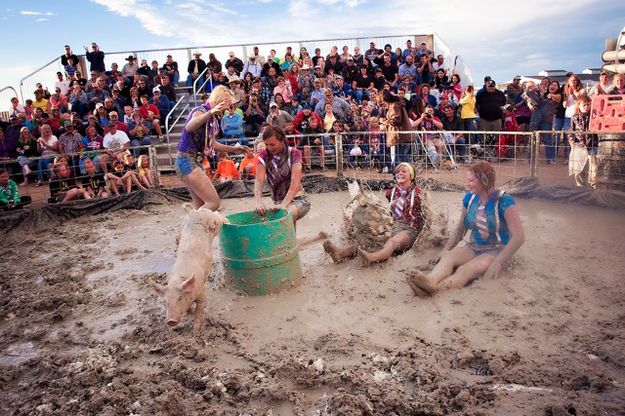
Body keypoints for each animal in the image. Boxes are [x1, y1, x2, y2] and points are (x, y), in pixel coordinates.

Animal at [149, 202, 229, 332]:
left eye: (180, 298)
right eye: (165, 301)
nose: (171, 321)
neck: (178, 280)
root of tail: (194, 211)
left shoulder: (202, 291)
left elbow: (199, 310)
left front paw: (196, 330)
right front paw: (189, 313)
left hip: (214, 222)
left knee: (218, 215)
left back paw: (228, 221)